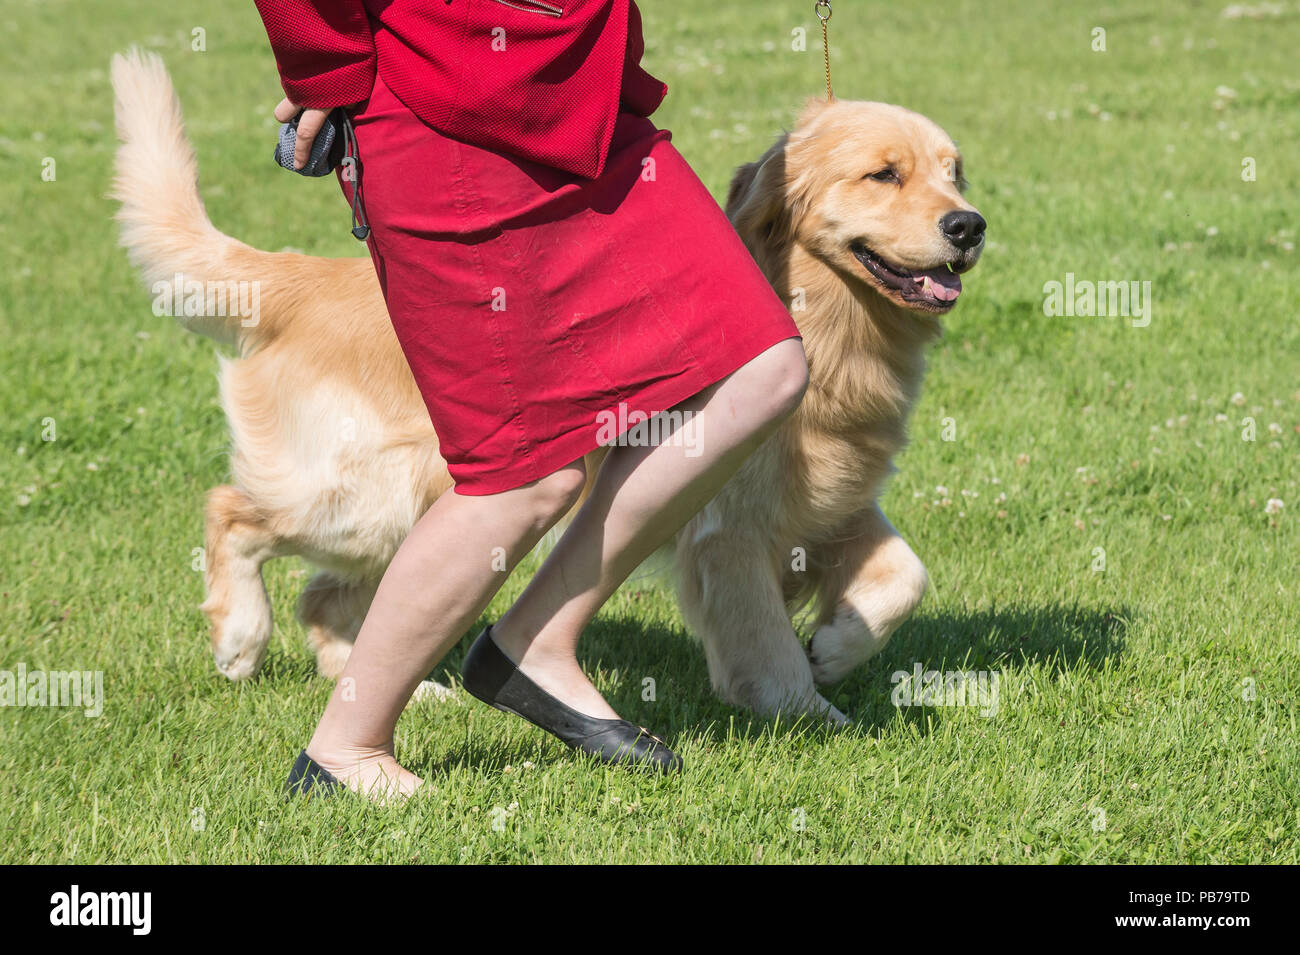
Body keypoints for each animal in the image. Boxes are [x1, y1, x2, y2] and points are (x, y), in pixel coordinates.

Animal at [114, 50, 982, 717]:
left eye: (955, 173)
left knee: (326, 598)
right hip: (378, 495)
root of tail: (302, 277)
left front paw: (837, 644)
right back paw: (241, 637)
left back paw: (408, 692)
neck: (838, 333)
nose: (969, 226)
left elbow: (906, 574)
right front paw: (808, 707)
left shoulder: (833, 499)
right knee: (234, 512)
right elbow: (766, 642)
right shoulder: (729, 528)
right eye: (883, 175)